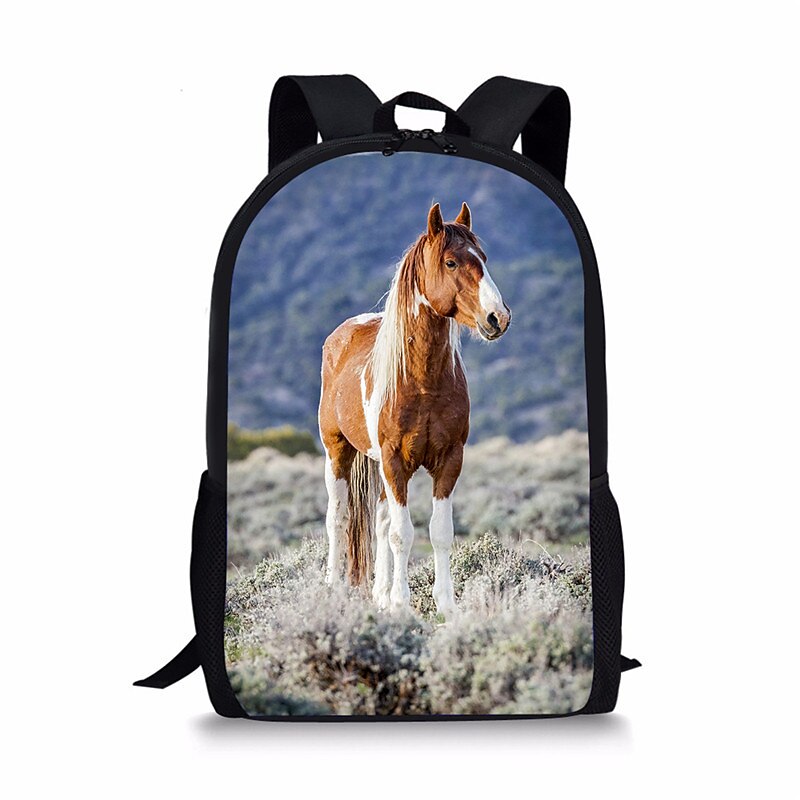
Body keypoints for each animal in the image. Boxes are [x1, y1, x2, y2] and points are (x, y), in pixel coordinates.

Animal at [318, 202, 511, 619]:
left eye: (483, 259)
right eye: (451, 262)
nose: (497, 318)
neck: (422, 381)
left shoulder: (449, 459)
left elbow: (438, 532)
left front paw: (445, 605)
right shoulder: (394, 461)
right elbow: (401, 534)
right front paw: (403, 604)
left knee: (378, 521)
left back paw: (379, 595)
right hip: (338, 452)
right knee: (338, 517)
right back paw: (334, 589)